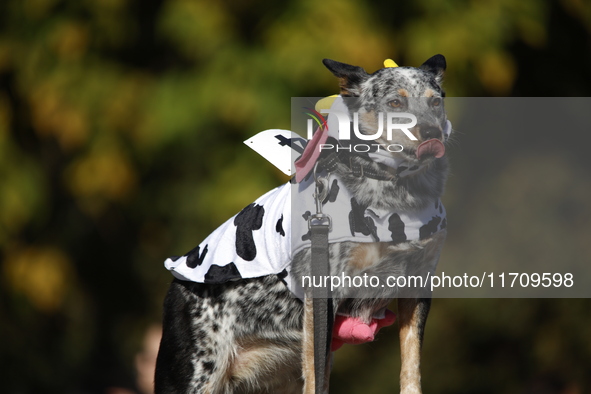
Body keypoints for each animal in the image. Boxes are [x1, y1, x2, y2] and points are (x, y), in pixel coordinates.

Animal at [155, 53, 450, 394]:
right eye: (395, 103)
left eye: (436, 102)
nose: (432, 133)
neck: (396, 195)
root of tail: (176, 285)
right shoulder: (324, 293)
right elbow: (317, 375)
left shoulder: (417, 285)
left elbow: (411, 365)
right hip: (196, 373)